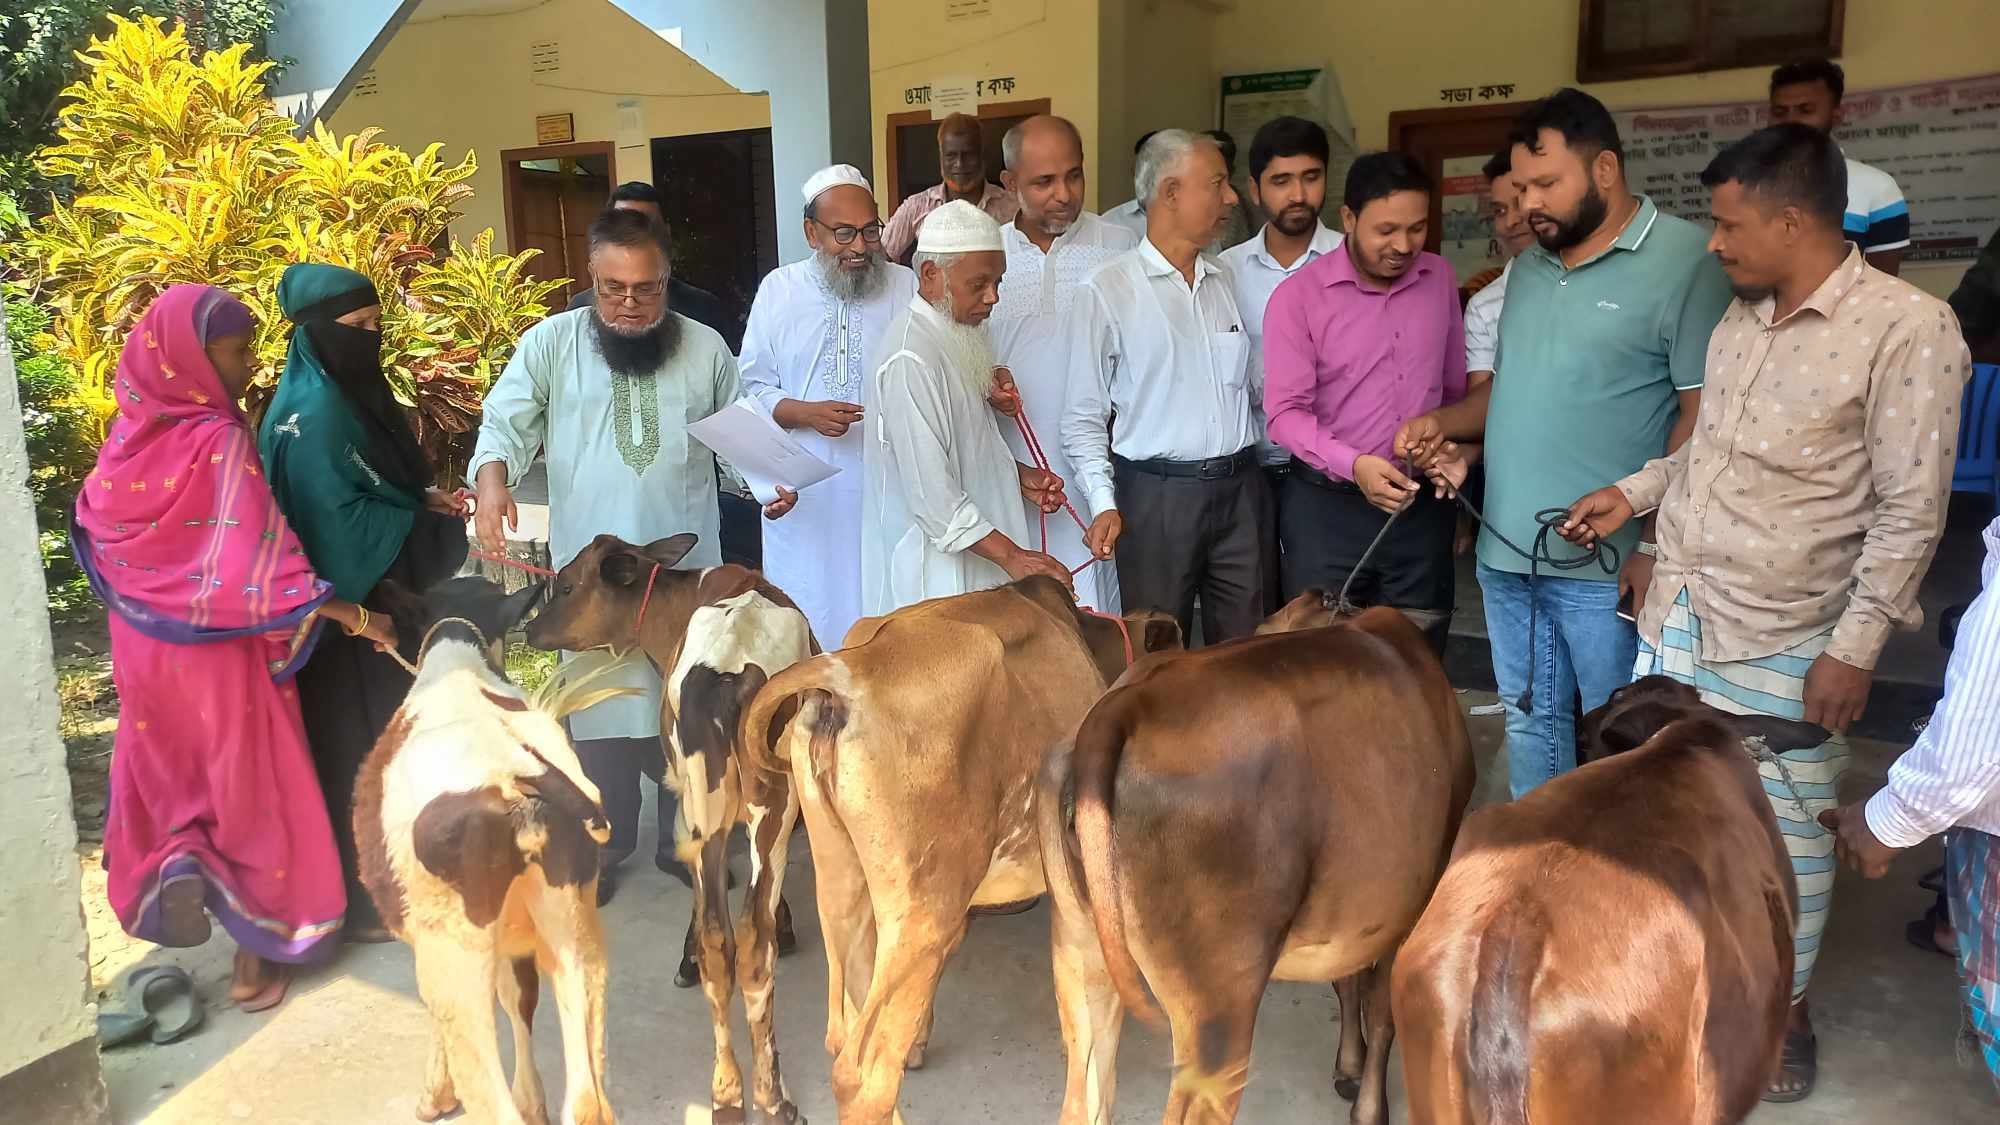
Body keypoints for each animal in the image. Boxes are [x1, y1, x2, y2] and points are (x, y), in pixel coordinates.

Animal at [355, 576, 620, 1125]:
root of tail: (518, 772)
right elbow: (519, 999)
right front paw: (532, 1099)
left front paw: (435, 1095)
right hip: (575, 922)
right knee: (588, 1100)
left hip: (453, 948)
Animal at [524, 533, 815, 1125]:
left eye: (566, 584)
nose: (530, 629)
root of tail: (730, 671)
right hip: (762, 801)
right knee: (742, 937)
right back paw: (756, 1096)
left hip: (726, 801)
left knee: (727, 940)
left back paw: (740, 1095)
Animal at [738, 576, 1181, 1125]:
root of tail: (846, 674)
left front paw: (920, 1040)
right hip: (924, 911)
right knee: (861, 1073)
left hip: (845, 884)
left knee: (843, 1029)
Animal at [1034, 602, 1474, 1125]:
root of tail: (1121, 705)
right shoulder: (1410, 902)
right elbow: (1381, 1008)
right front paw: (1369, 1107)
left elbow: (1347, 982)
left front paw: (1348, 1066)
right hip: (1218, 1006)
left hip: (1078, 954)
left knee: (1082, 1099)